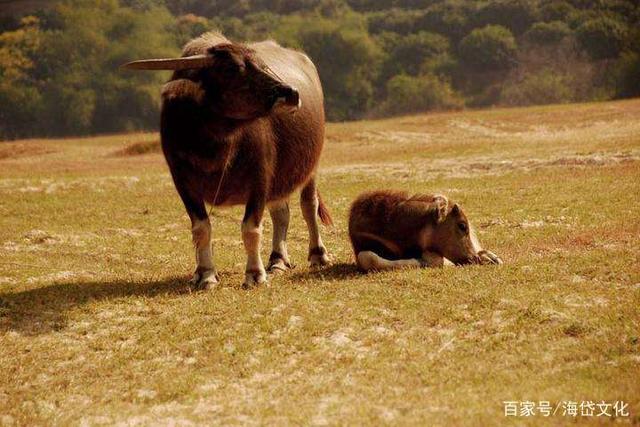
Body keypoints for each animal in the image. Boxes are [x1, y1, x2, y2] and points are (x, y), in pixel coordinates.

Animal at [124, 32, 330, 288]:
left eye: (262, 64)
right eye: (232, 69)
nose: (291, 93)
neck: (212, 142)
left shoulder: (260, 178)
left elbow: (251, 228)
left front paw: (254, 274)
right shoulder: (183, 181)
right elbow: (201, 228)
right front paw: (205, 274)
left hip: (311, 167)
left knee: (308, 206)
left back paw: (317, 255)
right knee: (281, 211)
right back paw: (277, 261)